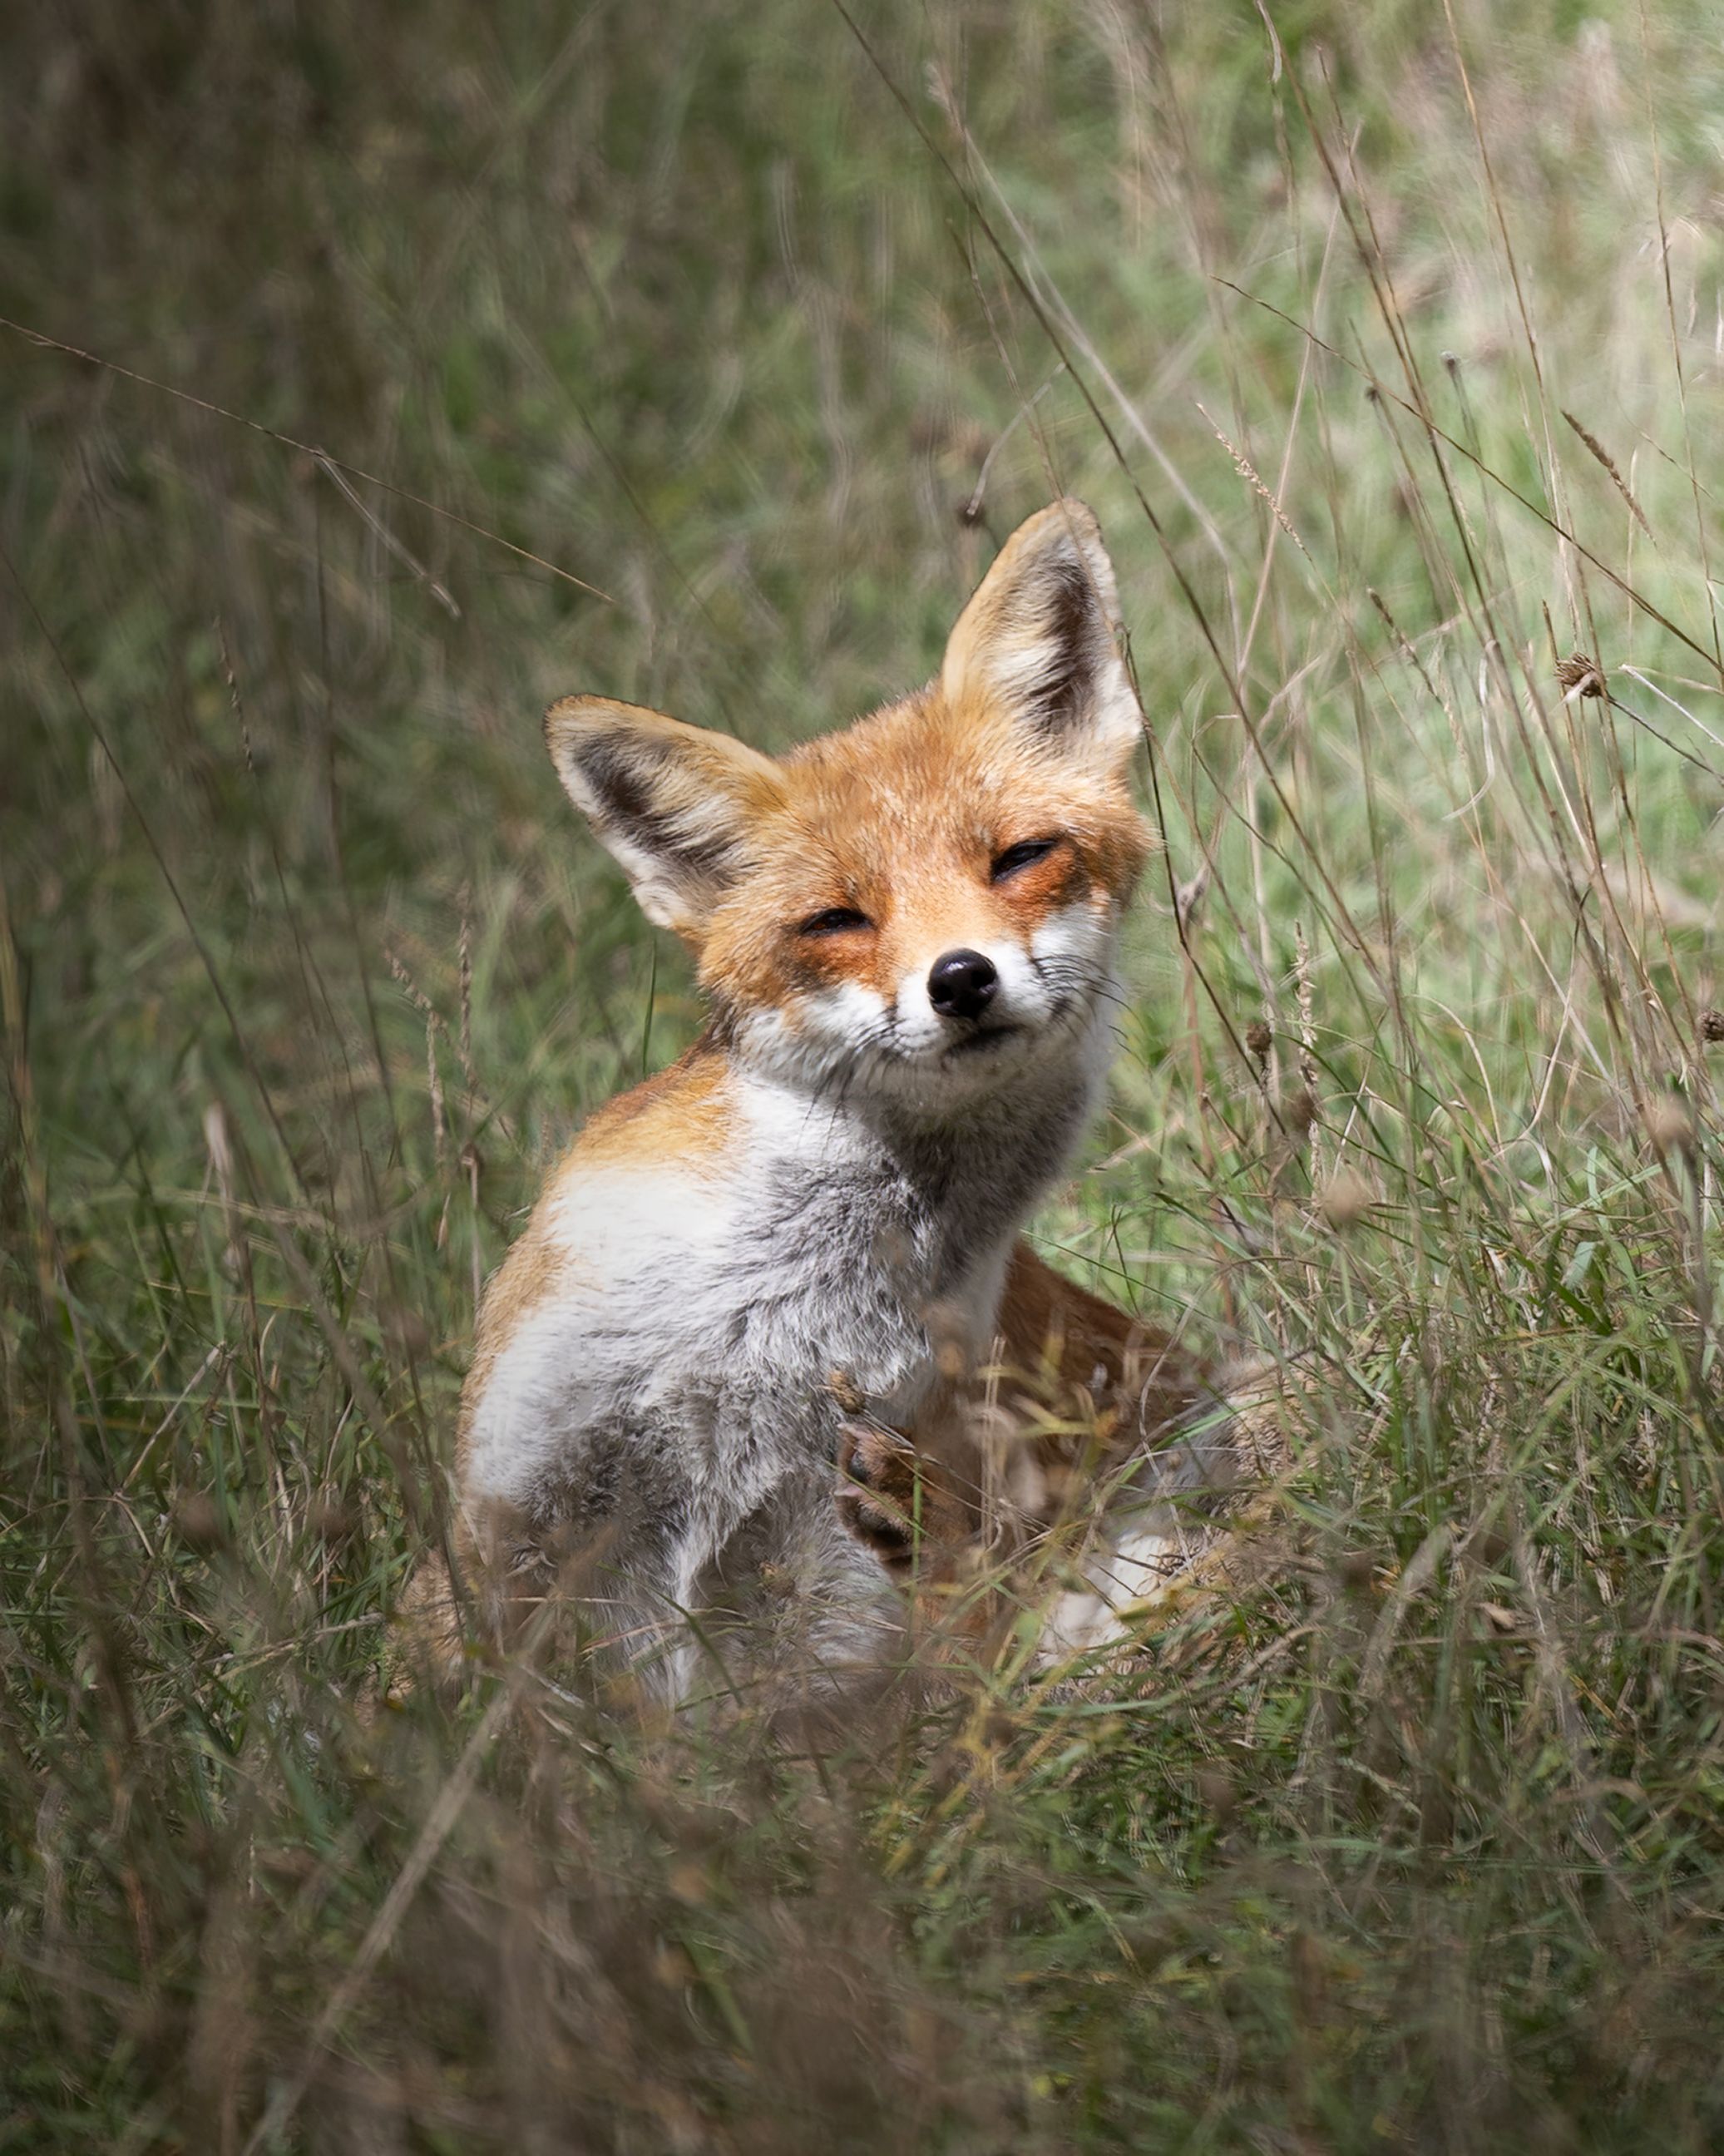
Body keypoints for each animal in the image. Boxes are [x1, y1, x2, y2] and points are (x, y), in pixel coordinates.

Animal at [411, 500, 1252, 1718]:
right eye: (837, 920)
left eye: (1020, 858)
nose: (962, 980)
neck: (760, 1329)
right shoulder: (525, 1521)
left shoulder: (827, 1593)